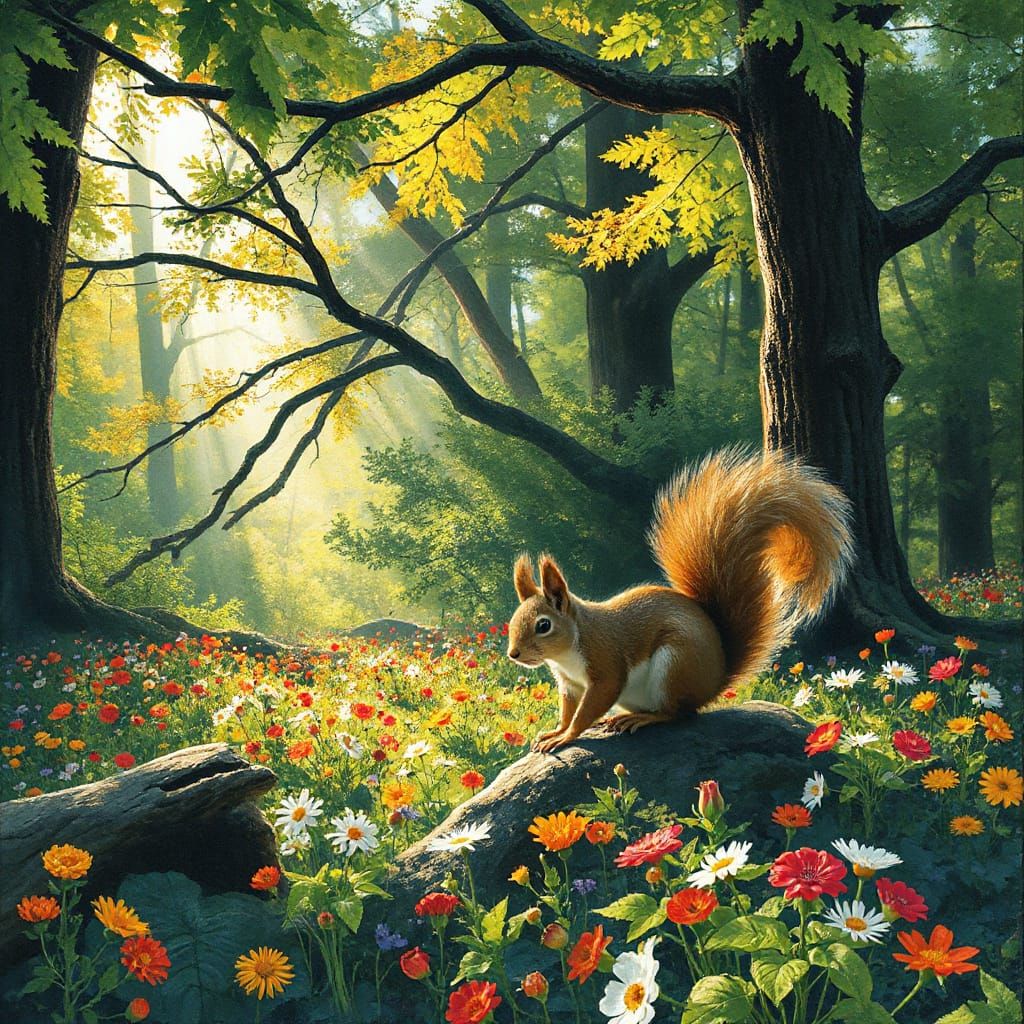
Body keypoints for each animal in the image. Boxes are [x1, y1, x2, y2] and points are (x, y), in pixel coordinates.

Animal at [507, 447, 854, 754]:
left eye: (543, 625)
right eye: (512, 621)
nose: (513, 654)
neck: (567, 652)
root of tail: (714, 680)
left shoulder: (604, 664)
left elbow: (588, 708)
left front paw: (567, 737)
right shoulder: (569, 684)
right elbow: (568, 711)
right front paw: (556, 731)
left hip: (674, 664)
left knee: (678, 714)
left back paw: (642, 719)